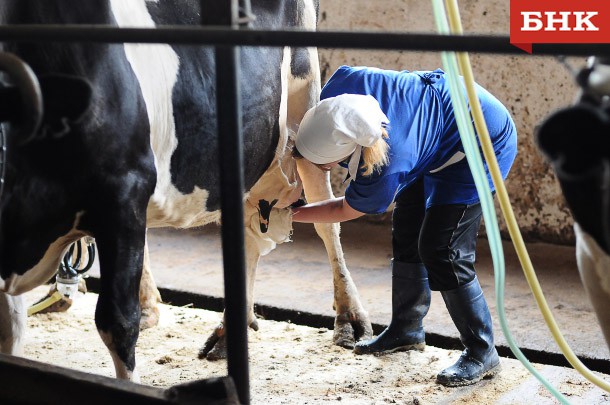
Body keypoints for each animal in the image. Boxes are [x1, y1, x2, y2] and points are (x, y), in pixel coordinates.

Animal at [0, 0, 370, 378]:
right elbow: (12, 327)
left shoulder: (123, 193)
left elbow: (117, 322)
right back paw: (229, 333)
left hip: (305, 105)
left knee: (326, 220)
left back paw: (348, 319)